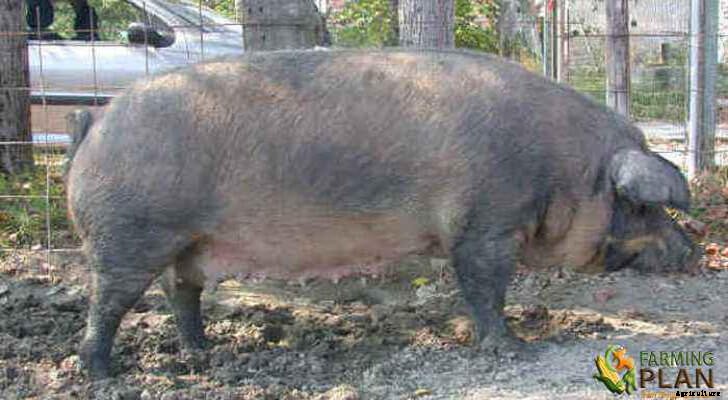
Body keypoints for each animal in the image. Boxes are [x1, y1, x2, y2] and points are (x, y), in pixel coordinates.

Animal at [66, 49, 698, 378]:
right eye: (642, 206)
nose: (693, 250)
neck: (562, 169)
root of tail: (97, 120)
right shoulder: (484, 226)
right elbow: (485, 289)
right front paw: (516, 350)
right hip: (131, 234)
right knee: (110, 299)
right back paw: (101, 373)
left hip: (188, 243)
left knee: (181, 292)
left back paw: (204, 354)